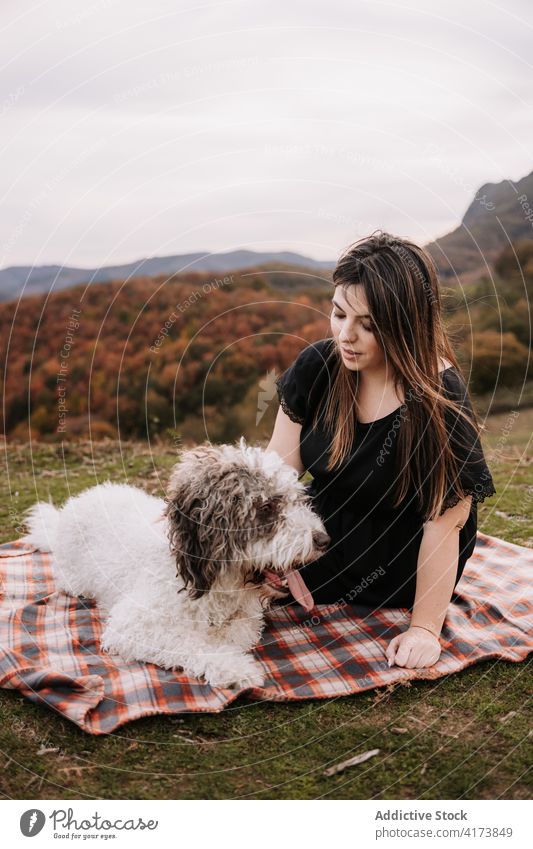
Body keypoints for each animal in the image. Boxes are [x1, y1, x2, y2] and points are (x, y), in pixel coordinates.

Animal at [21, 438, 328, 688]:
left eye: (297, 500)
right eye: (266, 507)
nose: (324, 540)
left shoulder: (247, 618)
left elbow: (233, 634)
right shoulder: (133, 624)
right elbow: (190, 642)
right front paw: (233, 667)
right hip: (74, 580)